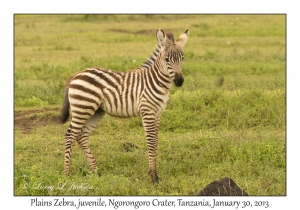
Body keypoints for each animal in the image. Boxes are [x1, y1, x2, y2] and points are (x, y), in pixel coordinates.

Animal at [59, 28, 189, 184]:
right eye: (167, 59)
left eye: (182, 58)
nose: (179, 81)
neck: (156, 81)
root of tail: (77, 74)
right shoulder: (147, 111)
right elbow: (151, 141)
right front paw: (153, 176)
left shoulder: (158, 113)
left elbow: (156, 141)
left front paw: (154, 174)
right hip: (82, 109)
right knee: (69, 135)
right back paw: (66, 174)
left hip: (96, 111)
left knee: (82, 136)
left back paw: (96, 171)